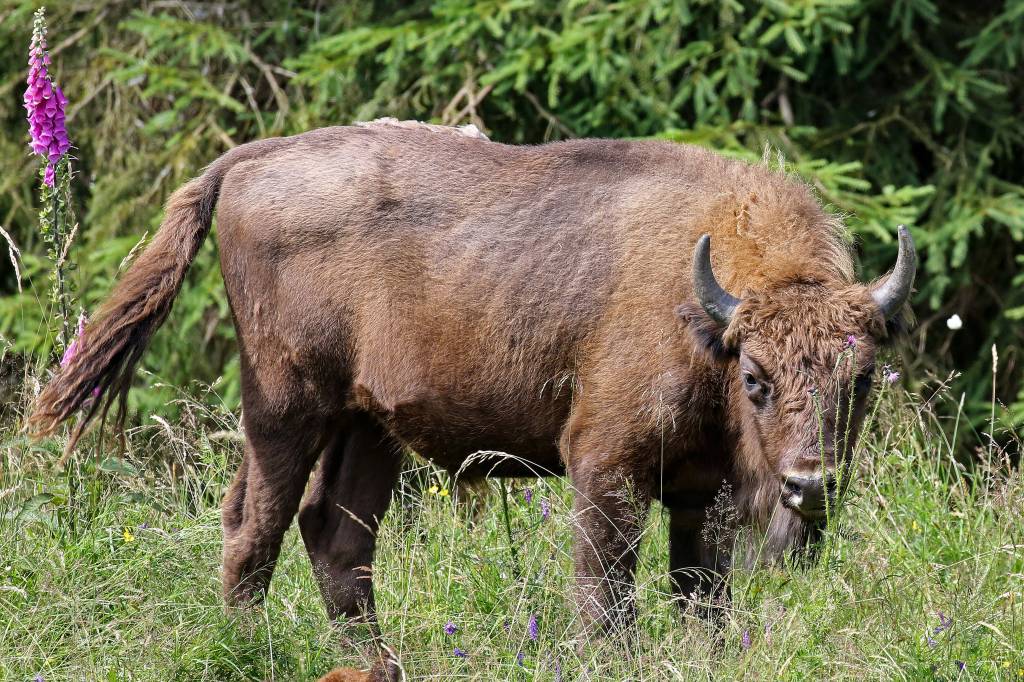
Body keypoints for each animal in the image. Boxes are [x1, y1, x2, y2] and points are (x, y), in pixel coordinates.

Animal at [29, 122, 913, 638]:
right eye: (756, 377)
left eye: (863, 378)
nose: (809, 485)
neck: (706, 314)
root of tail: (242, 162)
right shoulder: (606, 468)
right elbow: (607, 602)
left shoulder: (700, 493)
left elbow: (702, 602)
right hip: (284, 407)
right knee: (255, 529)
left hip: (368, 425)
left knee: (336, 537)